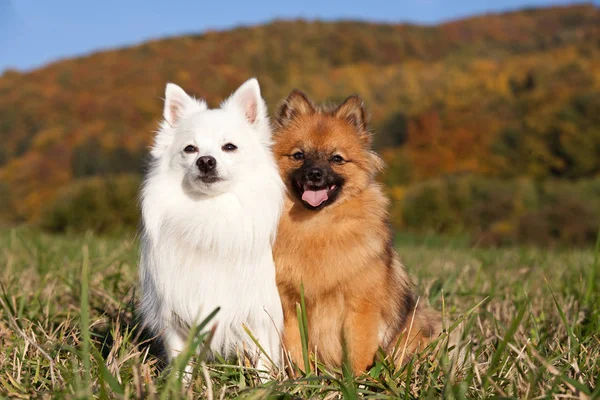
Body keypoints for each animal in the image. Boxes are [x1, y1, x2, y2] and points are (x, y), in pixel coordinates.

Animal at [139, 79, 284, 376]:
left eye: (229, 147)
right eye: (190, 149)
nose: (206, 160)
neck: (211, 211)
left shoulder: (260, 312)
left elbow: (263, 361)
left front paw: (267, 384)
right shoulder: (176, 313)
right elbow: (181, 360)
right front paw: (178, 384)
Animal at [272, 89, 440, 374]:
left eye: (336, 159)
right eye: (298, 155)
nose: (314, 174)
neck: (317, 227)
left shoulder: (360, 308)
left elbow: (359, 352)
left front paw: (358, 380)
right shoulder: (290, 305)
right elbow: (297, 349)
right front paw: (303, 377)